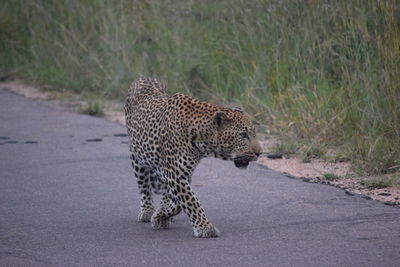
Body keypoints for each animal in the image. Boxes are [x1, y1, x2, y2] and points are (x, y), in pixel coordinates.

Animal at [125, 78, 262, 239]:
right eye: (243, 135)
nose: (260, 153)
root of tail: (144, 78)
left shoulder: (183, 173)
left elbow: (177, 201)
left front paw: (161, 216)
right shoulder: (176, 174)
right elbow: (191, 201)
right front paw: (205, 228)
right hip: (137, 158)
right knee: (143, 186)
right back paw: (147, 211)